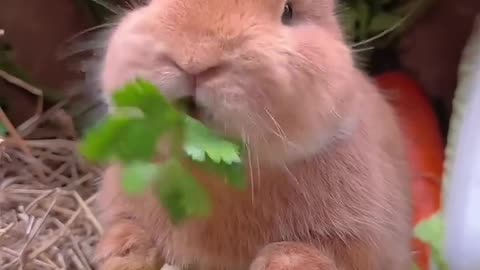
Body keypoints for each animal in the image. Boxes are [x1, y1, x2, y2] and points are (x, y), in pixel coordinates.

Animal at [94, 0, 412, 270]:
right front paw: (123, 257)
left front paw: (274, 262)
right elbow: (128, 230)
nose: (194, 58)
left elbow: (307, 255)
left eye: (288, 12)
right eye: (152, 2)